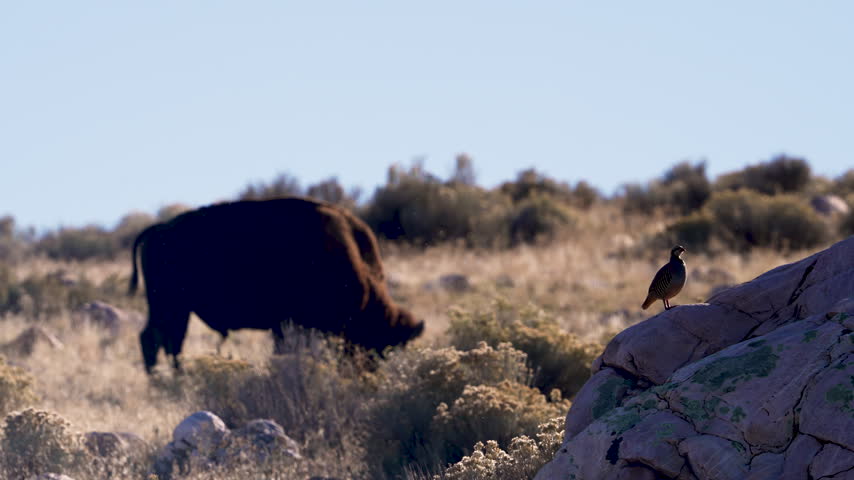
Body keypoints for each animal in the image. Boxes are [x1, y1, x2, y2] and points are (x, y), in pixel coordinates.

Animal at [129, 197, 423, 373]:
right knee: (160, 340)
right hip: (171, 306)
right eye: (384, 343)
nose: (371, 373)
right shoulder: (287, 324)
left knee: (162, 340)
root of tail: (160, 228)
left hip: (172, 308)